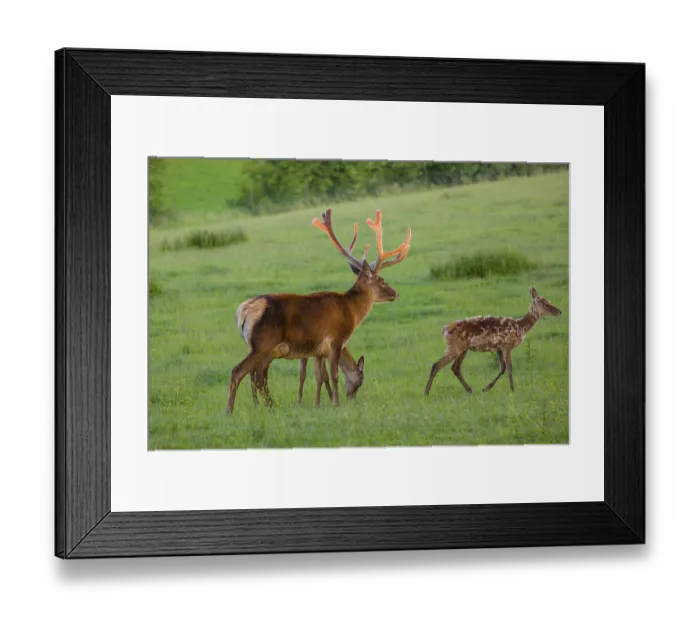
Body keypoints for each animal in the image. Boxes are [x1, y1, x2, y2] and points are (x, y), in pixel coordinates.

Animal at [227, 208, 411, 413]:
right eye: (382, 281)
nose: (396, 293)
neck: (351, 311)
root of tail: (244, 310)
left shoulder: (316, 350)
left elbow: (318, 376)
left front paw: (317, 404)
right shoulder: (336, 340)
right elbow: (333, 375)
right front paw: (337, 404)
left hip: (262, 347)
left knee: (255, 375)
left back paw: (266, 406)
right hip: (263, 343)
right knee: (241, 372)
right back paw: (231, 411)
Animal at [423, 287, 562, 396]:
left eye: (549, 301)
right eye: (546, 304)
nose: (559, 311)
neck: (520, 327)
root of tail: (445, 329)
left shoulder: (498, 348)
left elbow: (502, 368)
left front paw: (486, 388)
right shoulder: (507, 345)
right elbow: (509, 367)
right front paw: (513, 389)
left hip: (463, 349)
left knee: (455, 367)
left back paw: (469, 390)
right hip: (455, 347)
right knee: (437, 365)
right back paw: (426, 392)